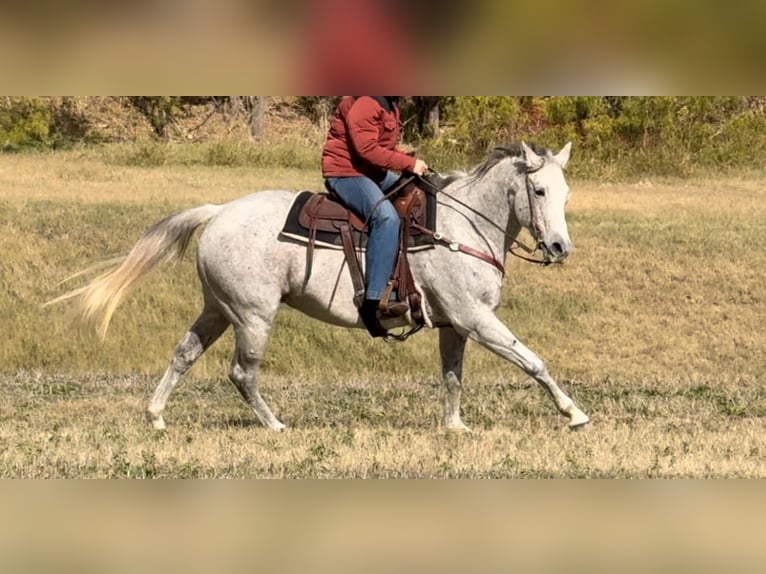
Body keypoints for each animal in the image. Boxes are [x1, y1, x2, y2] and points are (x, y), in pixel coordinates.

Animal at [52, 141, 590, 432]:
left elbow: (452, 376)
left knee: (184, 353)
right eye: (539, 190)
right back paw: (275, 424)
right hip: (253, 316)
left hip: (217, 310)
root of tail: (220, 212)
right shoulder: (475, 318)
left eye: (566, 193)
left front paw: (455, 427)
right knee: (241, 373)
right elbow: (531, 360)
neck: (462, 225)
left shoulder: (454, 324)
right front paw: (574, 413)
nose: (560, 247)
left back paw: (157, 415)